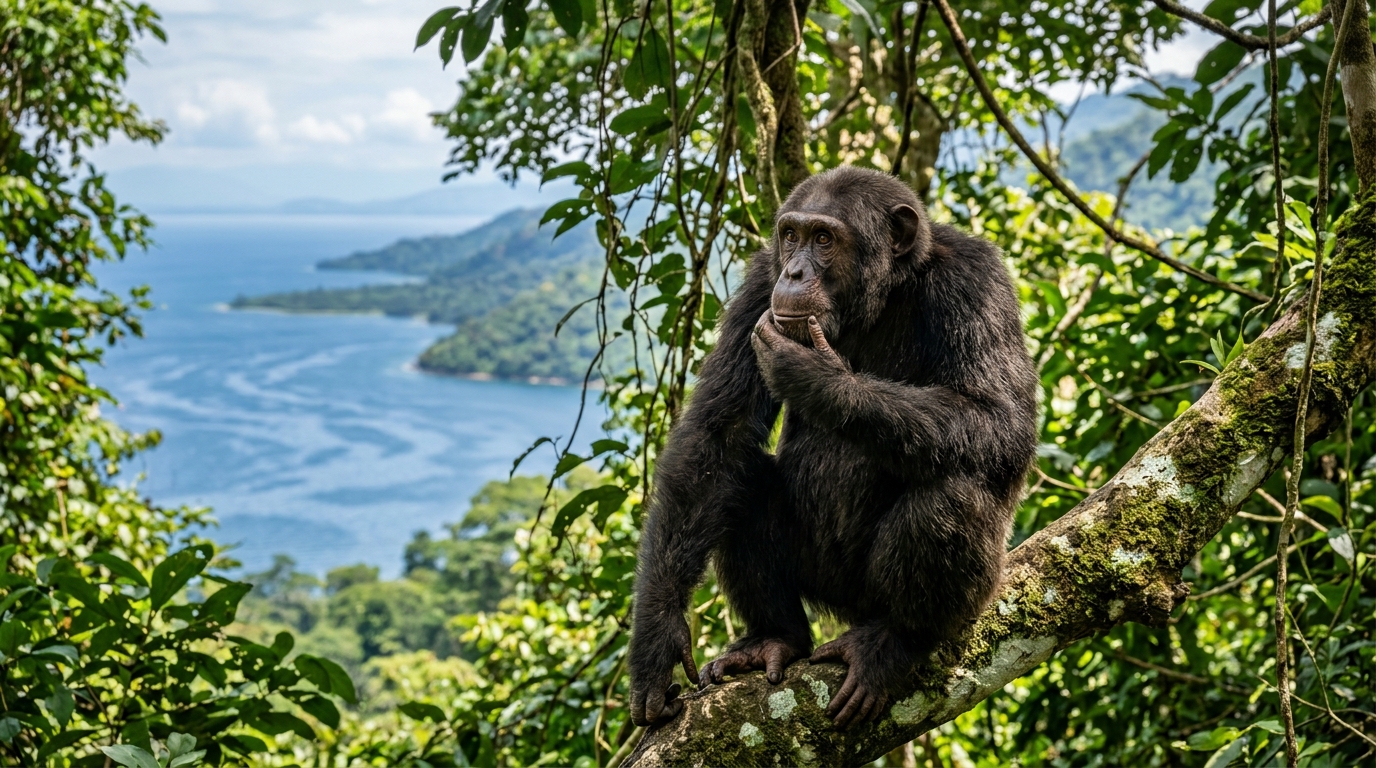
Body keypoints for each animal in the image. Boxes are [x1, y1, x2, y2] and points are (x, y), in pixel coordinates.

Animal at [628, 165, 1038, 728]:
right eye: (791, 235)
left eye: (824, 239)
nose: (795, 272)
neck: (884, 294)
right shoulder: (760, 284)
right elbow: (717, 433)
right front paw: (657, 644)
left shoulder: (977, 283)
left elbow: (1001, 419)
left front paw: (817, 377)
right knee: (741, 477)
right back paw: (775, 637)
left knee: (954, 495)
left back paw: (893, 640)